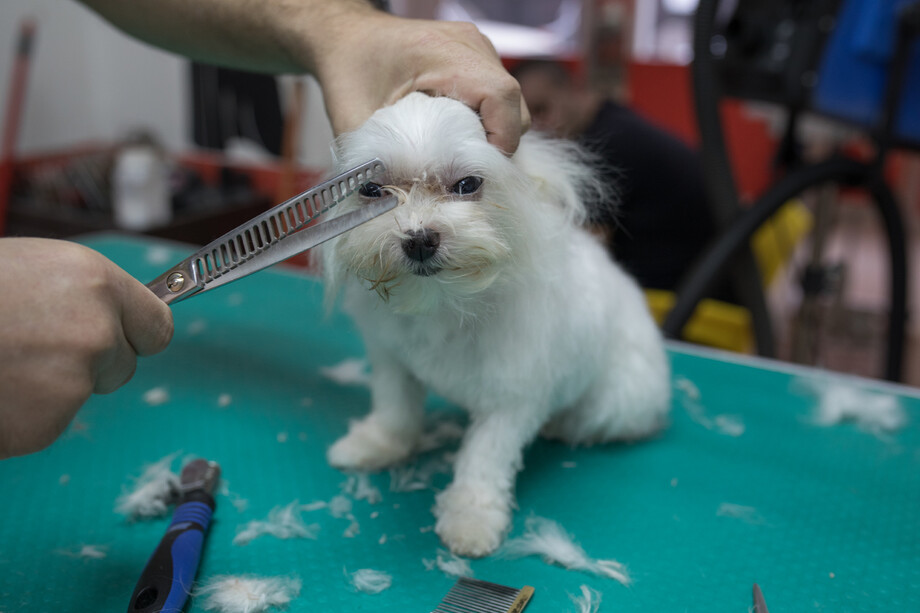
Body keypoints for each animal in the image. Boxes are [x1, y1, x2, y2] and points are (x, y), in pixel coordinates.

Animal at [324, 93, 668, 556]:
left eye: (468, 184)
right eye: (372, 190)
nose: (419, 239)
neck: (447, 304)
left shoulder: (512, 397)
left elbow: (484, 461)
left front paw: (470, 519)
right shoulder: (393, 359)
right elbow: (395, 411)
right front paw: (376, 445)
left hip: (614, 404)